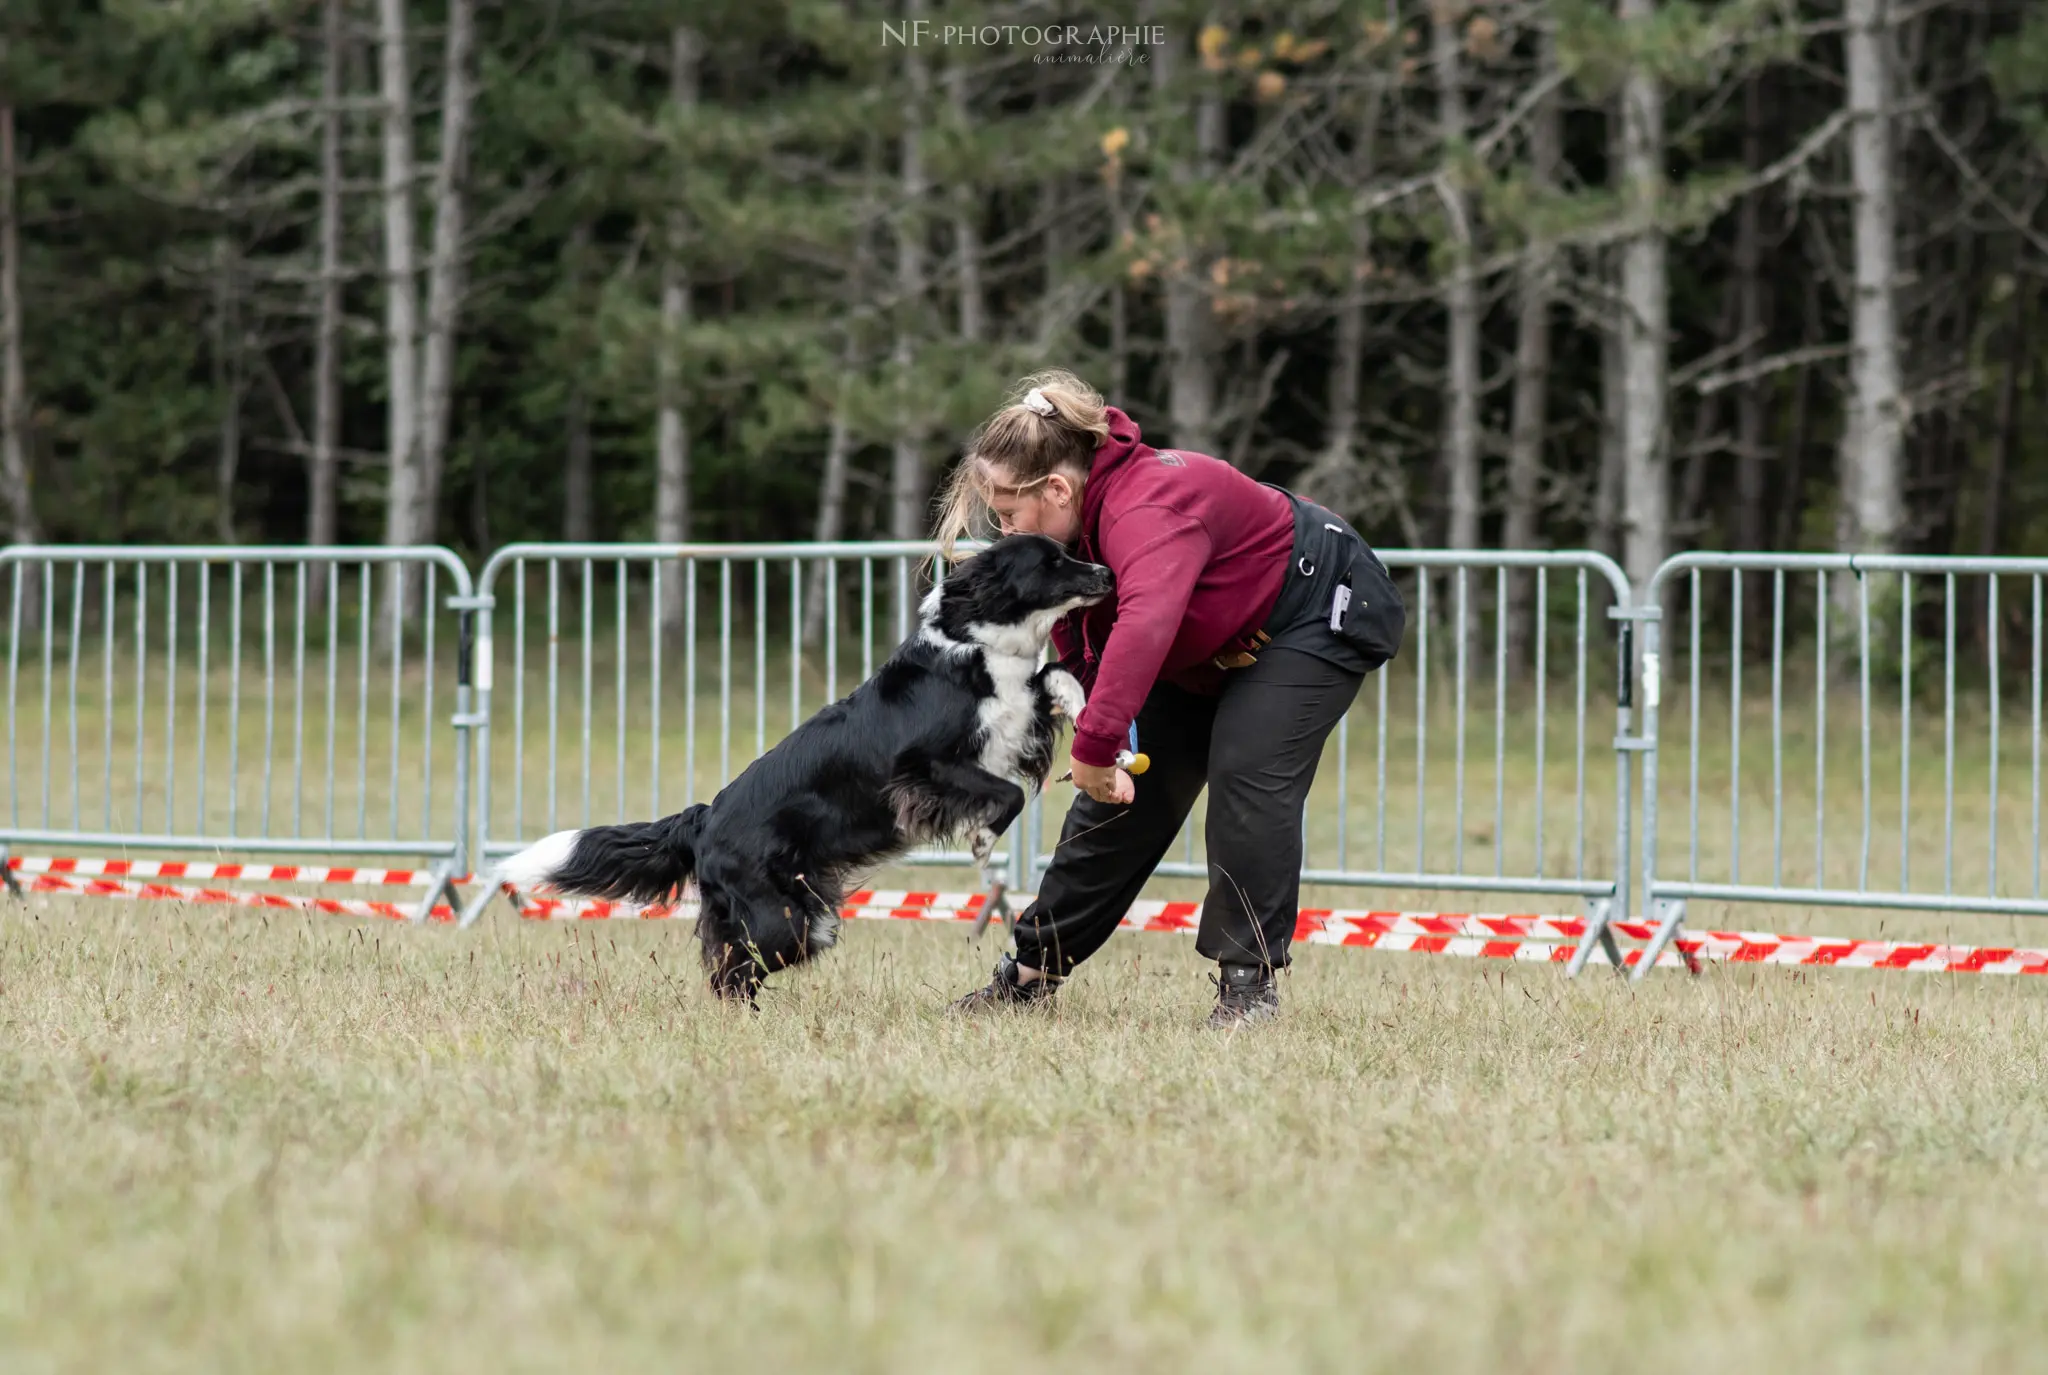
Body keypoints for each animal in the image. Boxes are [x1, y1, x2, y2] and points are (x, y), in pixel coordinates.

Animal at [493, 536, 1114, 1000]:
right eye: (1052, 561)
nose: (1107, 573)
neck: (979, 645)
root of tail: (704, 817)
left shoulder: (1015, 719)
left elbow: (1053, 676)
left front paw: (1084, 709)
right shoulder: (921, 764)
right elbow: (1007, 794)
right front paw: (984, 839)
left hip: (801, 913)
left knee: (730, 967)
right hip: (785, 919)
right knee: (733, 971)